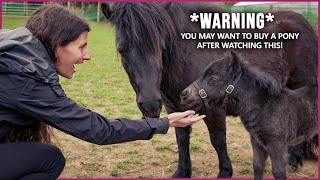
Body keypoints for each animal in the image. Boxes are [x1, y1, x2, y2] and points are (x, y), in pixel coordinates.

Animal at [180, 51, 318, 180]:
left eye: (213, 80)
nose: (184, 94)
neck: (264, 106)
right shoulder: (256, 141)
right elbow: (257, 166)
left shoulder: (277, 144)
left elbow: (278, 172)